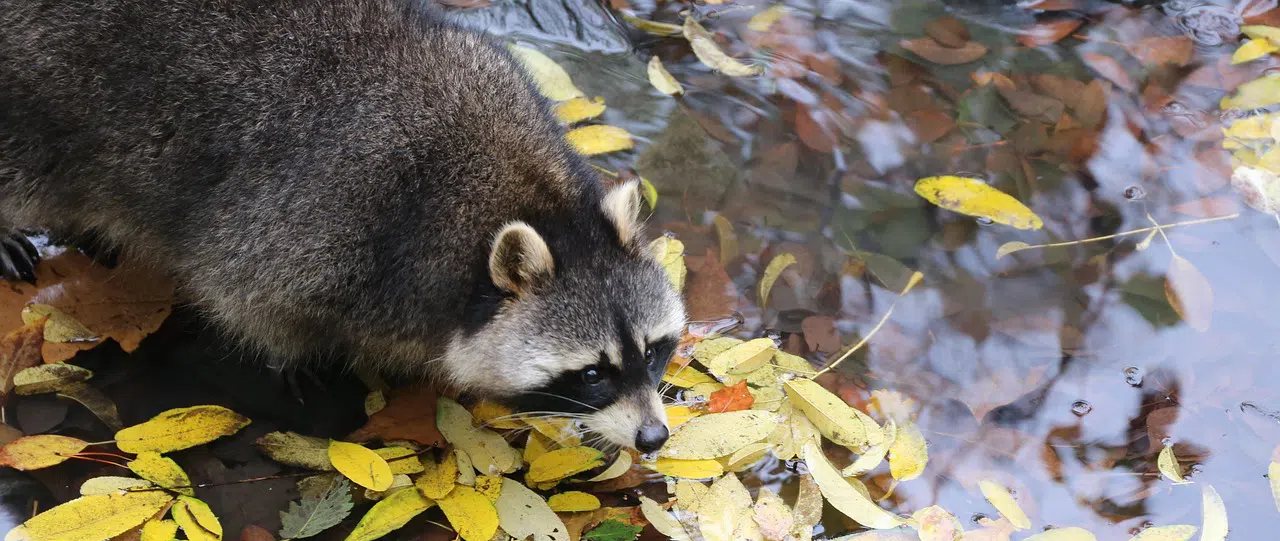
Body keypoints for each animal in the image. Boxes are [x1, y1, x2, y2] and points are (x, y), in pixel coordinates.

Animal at [0, 0, 691, 452]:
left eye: (654, 351)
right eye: (593, 373)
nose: (654, 437)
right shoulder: (319, 218)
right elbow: (249, 300)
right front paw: (291, 357)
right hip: (37, 101)